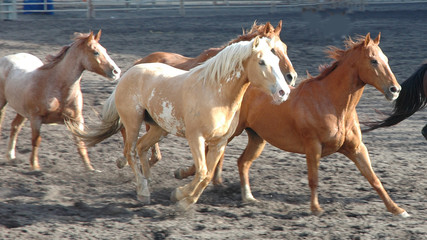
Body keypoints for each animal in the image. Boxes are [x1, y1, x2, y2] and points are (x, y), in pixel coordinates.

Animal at [0, 31, 121, 172]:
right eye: (96, 52)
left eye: (105, 50)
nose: (116, 72)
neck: (57, 87)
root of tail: (9, 57)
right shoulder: (36, 118)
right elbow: (36, 140)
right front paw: (35, 166)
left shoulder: (76, 120)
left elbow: (80, 143)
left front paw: (90, 168)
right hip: (4, 104)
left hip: (22, 111)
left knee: (15, 126)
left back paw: (11, 156)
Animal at [69, 37, 290, 210]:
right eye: (261, 62)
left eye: (276, 60)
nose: (284, 91)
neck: (215, 92)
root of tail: (129, 73)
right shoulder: (196, 138)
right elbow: (202, 171)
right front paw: (181, 197)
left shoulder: (219, 143)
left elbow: (207, 175)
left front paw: (183, 198)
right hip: (133, 122)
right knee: (130, 152)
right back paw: (143, 191)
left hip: (158, 128)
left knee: (141, 147)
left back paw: (148, 182)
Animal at [176, 32, 410, 217]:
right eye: (373, 61)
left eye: (386, 58)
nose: (395, 90)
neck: (332, 103)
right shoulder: (313, 146)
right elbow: (313, 179)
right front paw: (316, 209)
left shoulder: (356, 148)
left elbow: (374, 178)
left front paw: (397, 209)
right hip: (233, 133)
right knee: (209, 154)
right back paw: (183, 178)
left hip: (257, 138)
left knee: (242, 162)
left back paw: (248, 197)